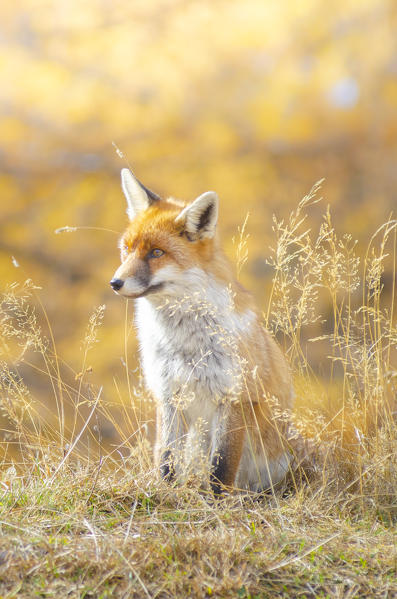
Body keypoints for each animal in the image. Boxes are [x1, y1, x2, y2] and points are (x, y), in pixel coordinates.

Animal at [110, 170, 298, 496]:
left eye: (156, 253)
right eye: (127, 249)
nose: (115, 282)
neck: (184, 342)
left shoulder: (233, 396)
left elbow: (221, 467)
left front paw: (216, 501)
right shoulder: (168, 394)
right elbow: (167, 458)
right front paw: (165, 493)